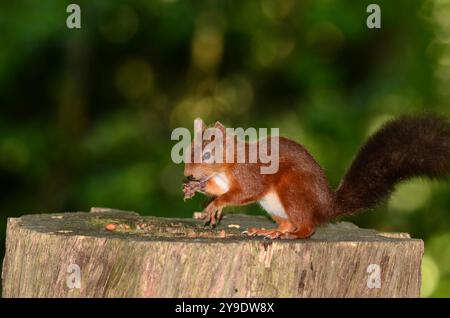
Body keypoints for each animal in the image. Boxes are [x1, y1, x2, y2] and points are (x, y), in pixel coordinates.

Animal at [183, 114, 450, 238]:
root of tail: (326, 206)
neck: (227, 166)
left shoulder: (250, 173)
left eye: (207, 155)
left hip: (293, 190)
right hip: (274, 207)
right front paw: (196, 188)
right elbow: (220, 189)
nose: (188, 174)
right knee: (289, 222)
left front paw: (216, 204)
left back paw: (292, 235)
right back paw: (273, 232)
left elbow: (245, 192)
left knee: (307, 227)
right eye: (187, 150)